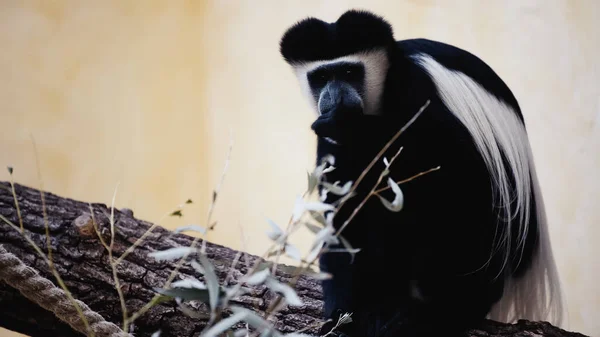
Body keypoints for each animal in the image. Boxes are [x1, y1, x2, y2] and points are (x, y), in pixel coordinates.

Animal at [278, 8, 564, 336]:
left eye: (350, 73)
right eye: (322, 77)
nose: (335, 96)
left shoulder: (416, 87)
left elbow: (449, 158)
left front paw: (349, 125)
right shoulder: (329, 146)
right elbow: (345, 211)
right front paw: (342, 315)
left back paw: (440, 312)